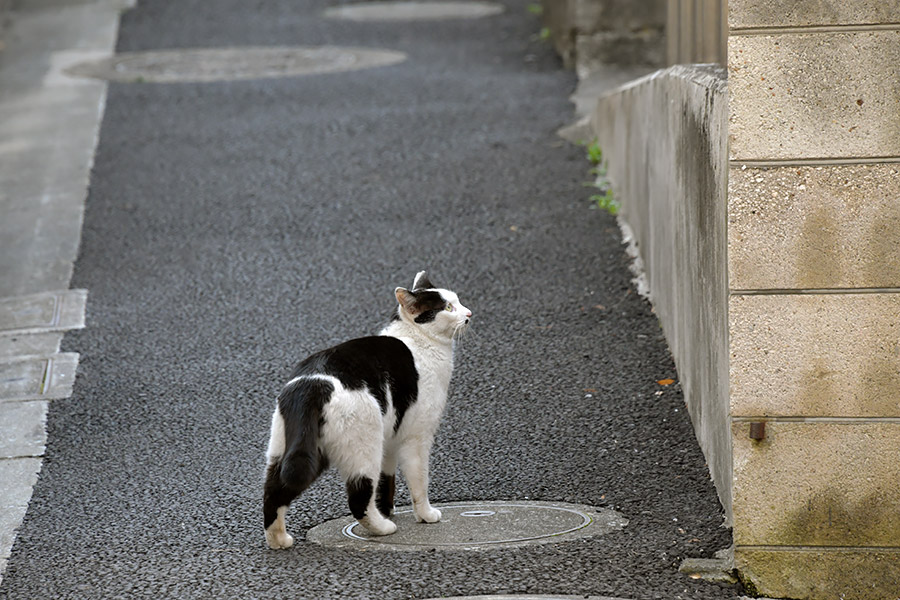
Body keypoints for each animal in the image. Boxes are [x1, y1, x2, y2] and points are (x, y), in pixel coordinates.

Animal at [262, 272, 468, 548]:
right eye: (447, 308)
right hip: (363, 446)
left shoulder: (390, 435)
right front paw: (425, 515)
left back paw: (279, 540)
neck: (419, 340)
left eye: (458, 301)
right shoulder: (416, 437)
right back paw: (383, 528)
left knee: (274, 491)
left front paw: (387, 509)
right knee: (358, 498)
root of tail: (313, 384)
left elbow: (386, 479)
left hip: (289, 450)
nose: (468, 313)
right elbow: (418, 481)